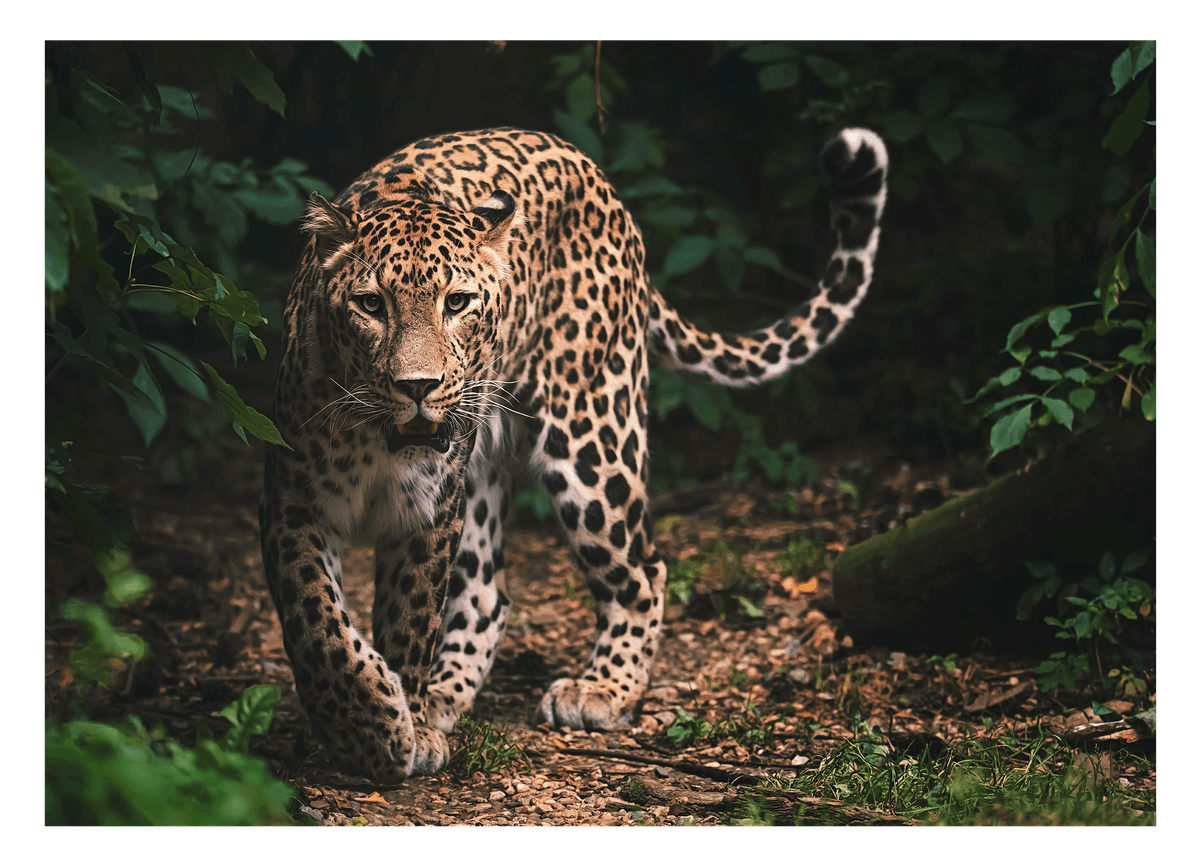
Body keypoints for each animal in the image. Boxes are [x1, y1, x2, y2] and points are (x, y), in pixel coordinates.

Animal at [259, 126, 887, 783]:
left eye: (456, 303)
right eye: (371, 305)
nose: (418, 387)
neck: (377, 441)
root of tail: (594, 172)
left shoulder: (428, 515)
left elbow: (409, 622)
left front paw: (394, 728)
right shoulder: (292, 503)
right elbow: (316, 623)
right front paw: (370, 725)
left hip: (593, 437)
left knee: (644, 569)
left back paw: (600, 690)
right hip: (485, 472)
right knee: (487, 594)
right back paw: (443, 700)